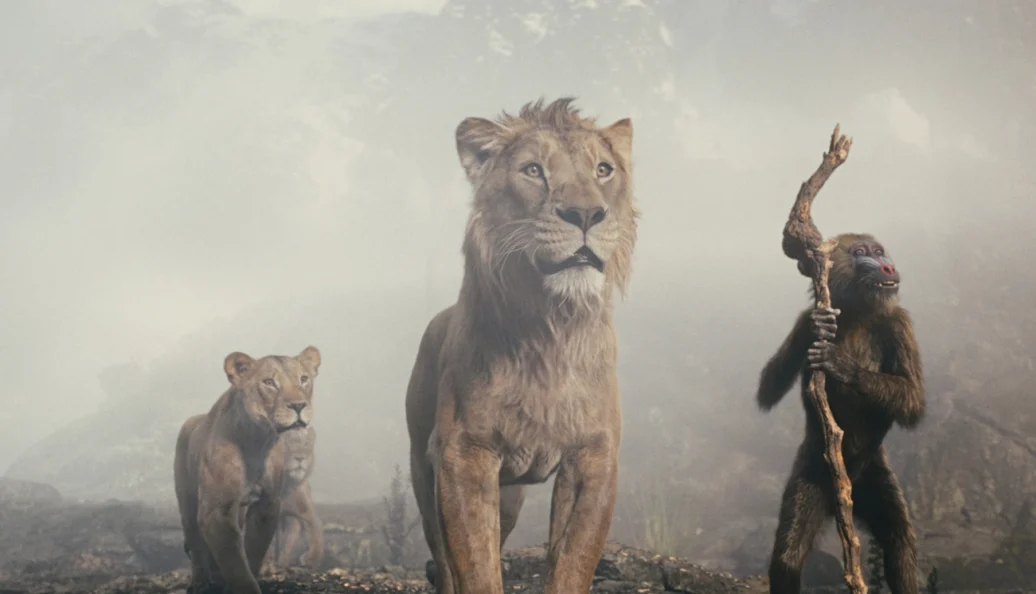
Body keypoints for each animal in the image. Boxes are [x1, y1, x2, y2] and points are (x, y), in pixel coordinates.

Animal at [173, 346, 321, 594]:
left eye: (304, 379)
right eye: (269, 382)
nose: (299, 406)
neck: (257, 441)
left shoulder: (267, 504)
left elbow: (253, 551)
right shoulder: (217, 509)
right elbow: (234, 562)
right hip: (187, 500)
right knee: (195, 540)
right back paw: (200, 582)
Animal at [405, 97, 638, 594]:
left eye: (604, 170)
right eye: (533, 170)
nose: (586, 214)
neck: (551, 329)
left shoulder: (594, 456)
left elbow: (573, 562)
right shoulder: (464, 455)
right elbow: (475, 566)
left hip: (509, 493)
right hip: (423, 468)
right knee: (444, 558)